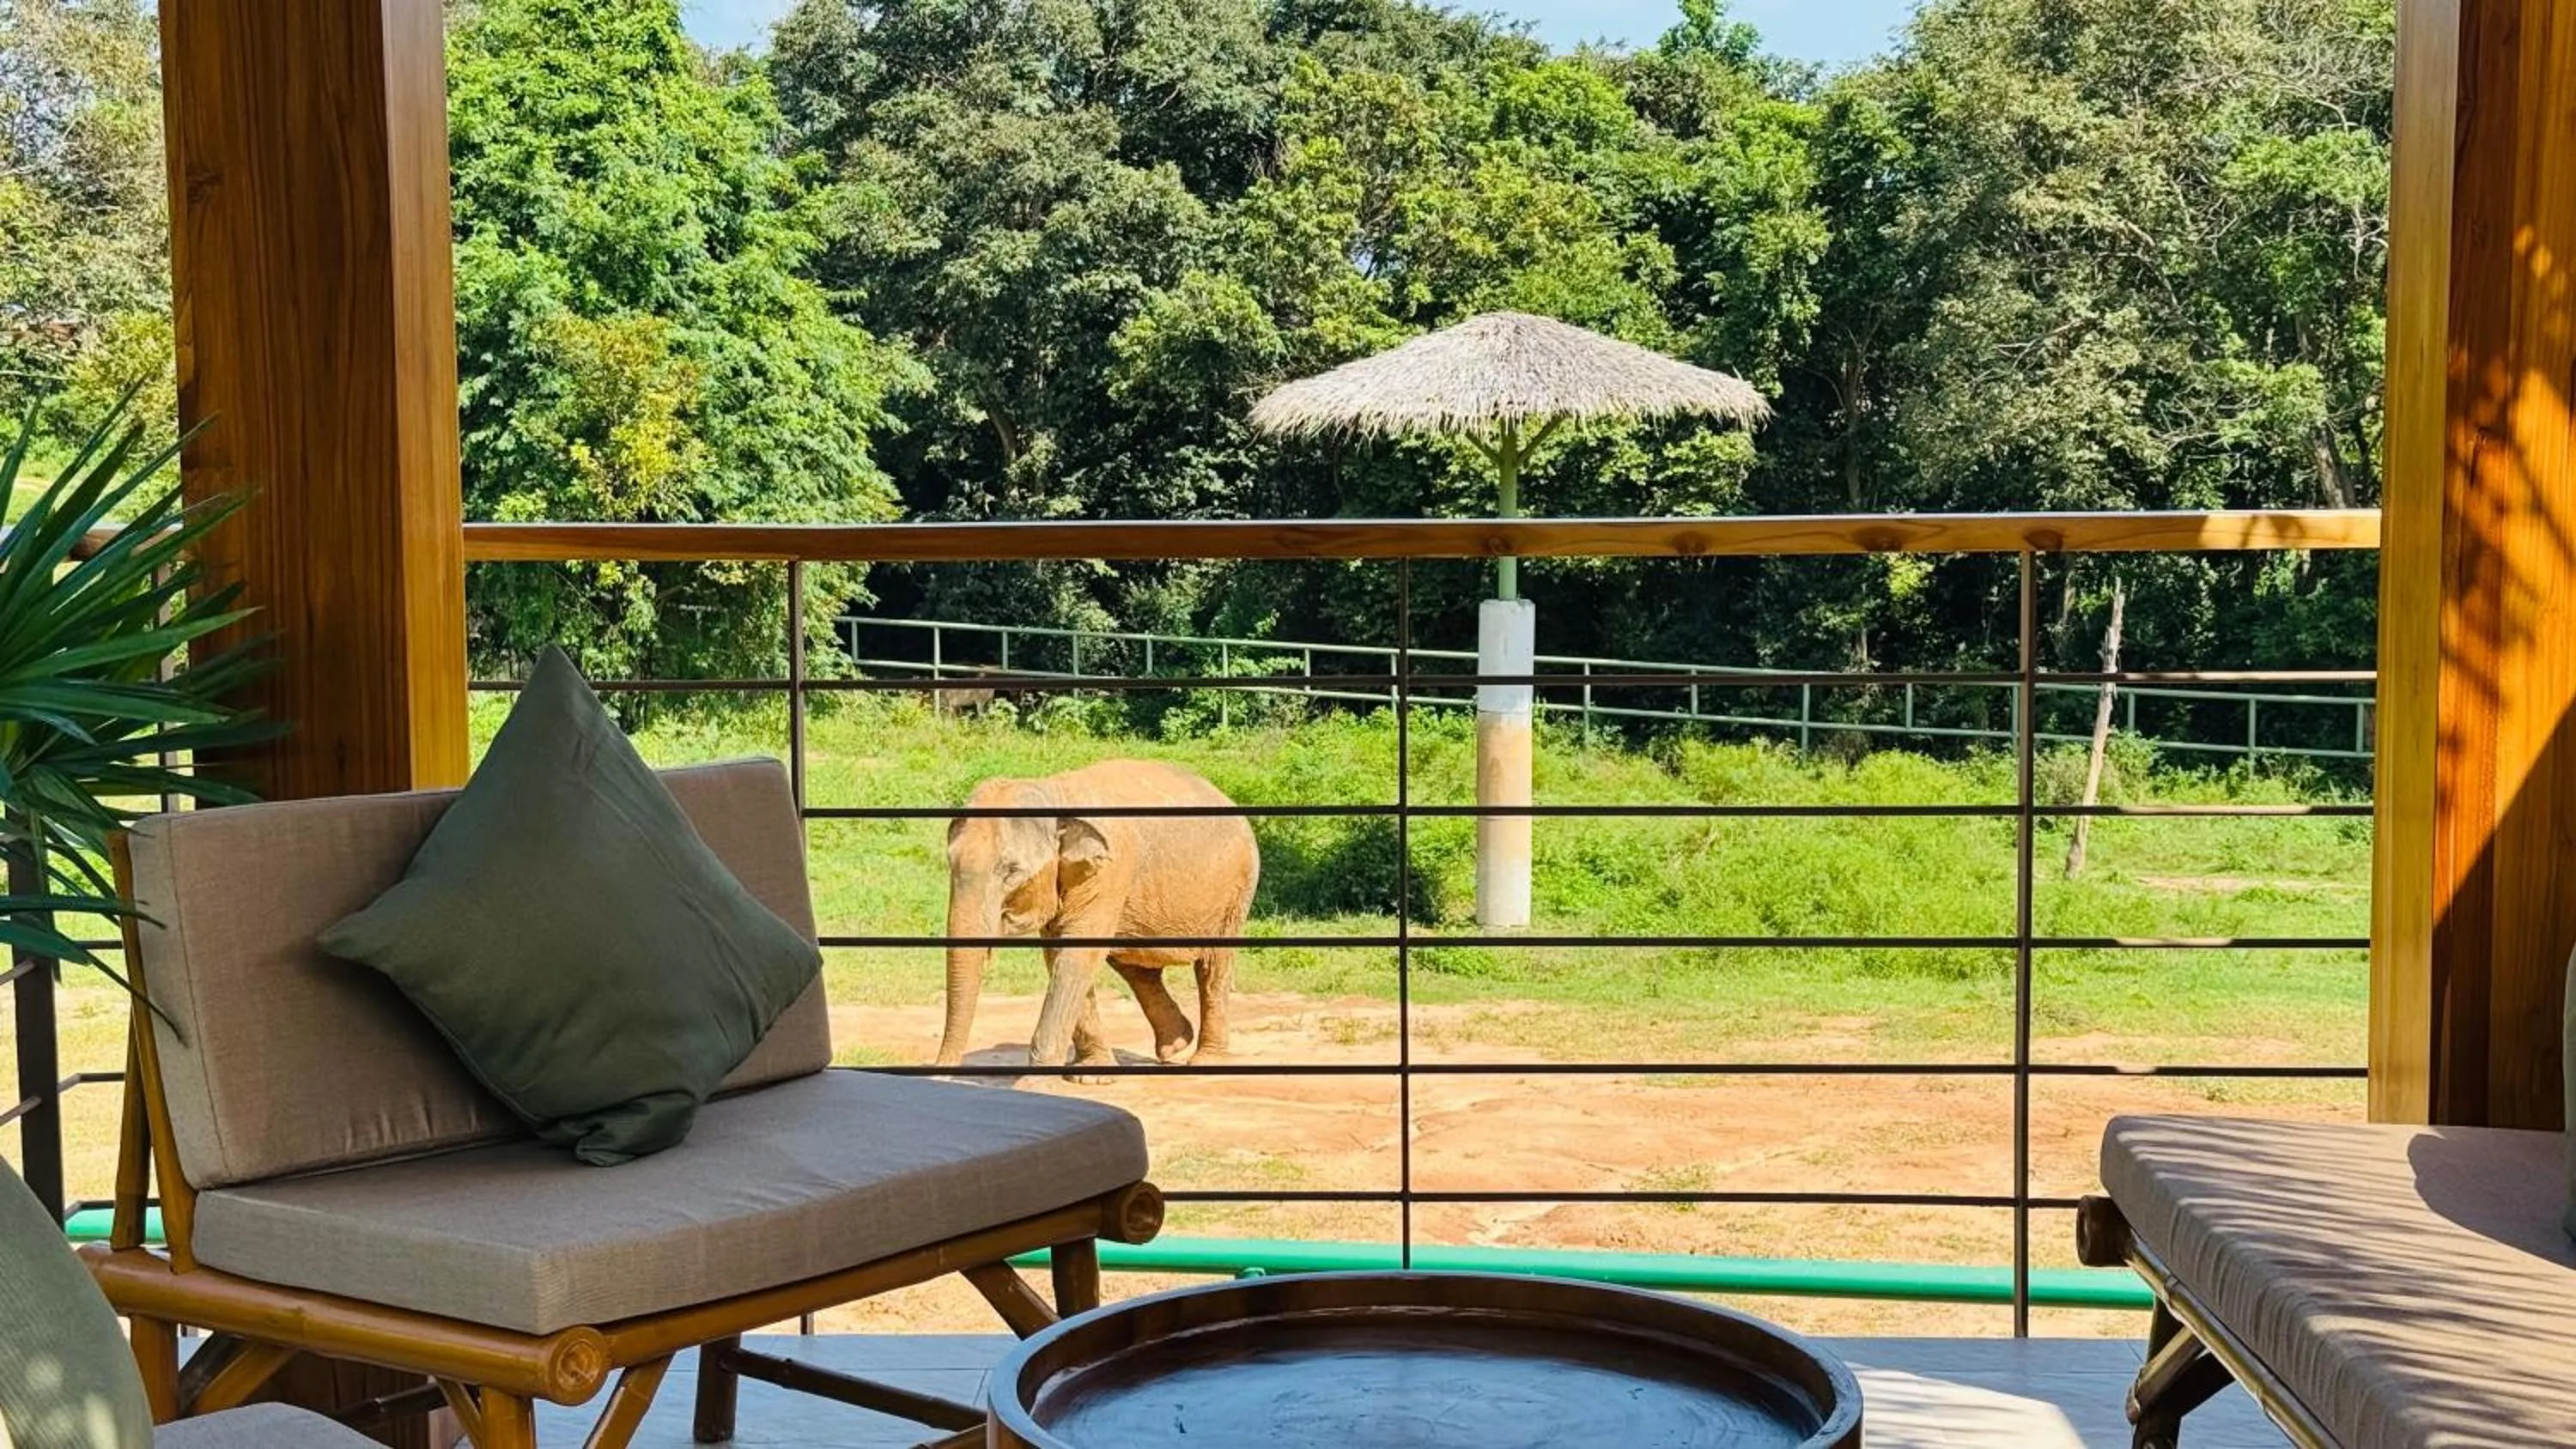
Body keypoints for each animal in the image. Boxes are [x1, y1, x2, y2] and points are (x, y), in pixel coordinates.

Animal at [935, 759, 1259, 1072]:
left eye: (1012, 871)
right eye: (950, 863)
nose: (940, 1073)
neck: (1055, 793)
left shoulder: (1108, 872)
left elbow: (1075, 956)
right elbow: (1060, 955)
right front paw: (1090, 1075)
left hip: (1236, 889)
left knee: (1213, 967)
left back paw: (1206, 1061)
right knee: (1134, 964)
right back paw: (1175, 1044)